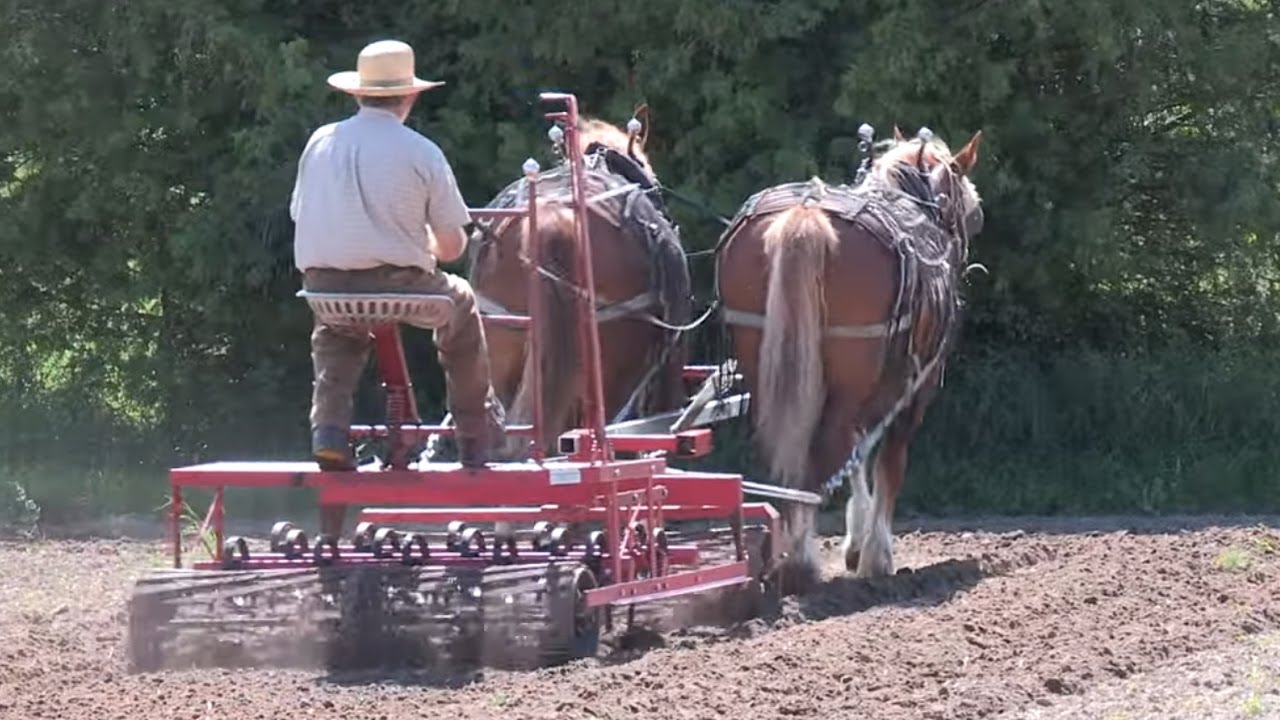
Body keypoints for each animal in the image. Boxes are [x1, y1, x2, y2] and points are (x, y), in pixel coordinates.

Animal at [715, 127, 985, 590]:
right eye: (969, 206)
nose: (971, 228)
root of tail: (805, 216)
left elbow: (858, 455)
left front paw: (856, 543)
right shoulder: (914, 387)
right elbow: (887, 462)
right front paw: (876, 554)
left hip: (764, 362)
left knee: (788, 446)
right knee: (828, 447)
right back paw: (802, 562)